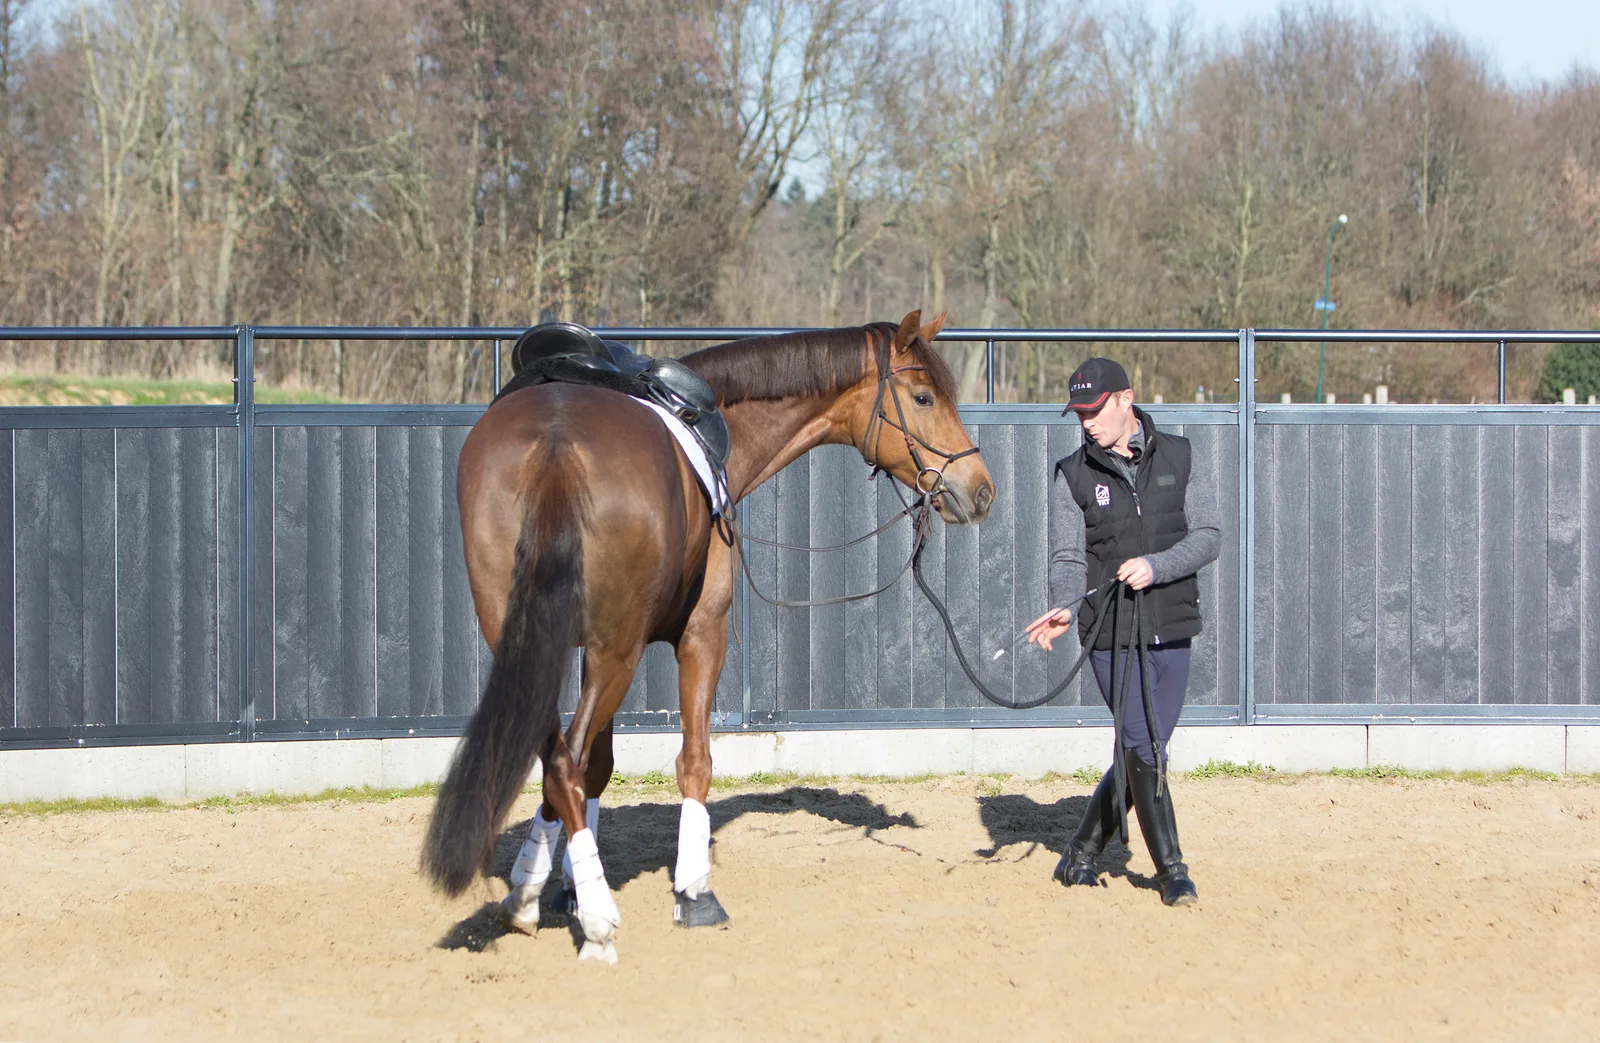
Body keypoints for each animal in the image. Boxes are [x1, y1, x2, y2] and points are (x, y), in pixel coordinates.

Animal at [421, 310, 995, 963]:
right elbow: (690, 761)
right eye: (924, 397)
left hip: (528, 639)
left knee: (555, 756)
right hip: (616, 651)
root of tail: (555, 442)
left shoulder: (581, 648)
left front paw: (546, 884)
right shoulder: (700, 634)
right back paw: (599, 920)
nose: (980, 488)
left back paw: (537, 897)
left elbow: (597, 764)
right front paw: (691, 890)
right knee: (564, 759)